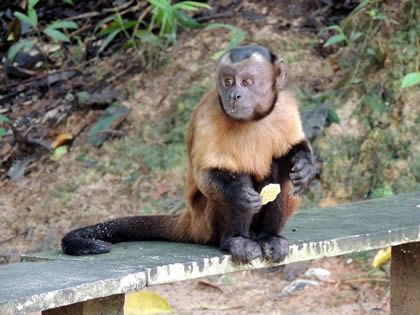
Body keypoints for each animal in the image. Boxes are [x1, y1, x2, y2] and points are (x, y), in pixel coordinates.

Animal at [61, 45, 316, 264]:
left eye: (246, 82)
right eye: (228, 82)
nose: (234, 95)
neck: (252, 119)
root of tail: (192, 221)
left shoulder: (285, 105)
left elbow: (293, 150)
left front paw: (306, 166)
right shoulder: (209, 111)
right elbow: (206, 175)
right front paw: (239, 193)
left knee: (281, 174)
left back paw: (268, 237)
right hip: (206, 222)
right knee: (237, 176)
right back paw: (236, 240)